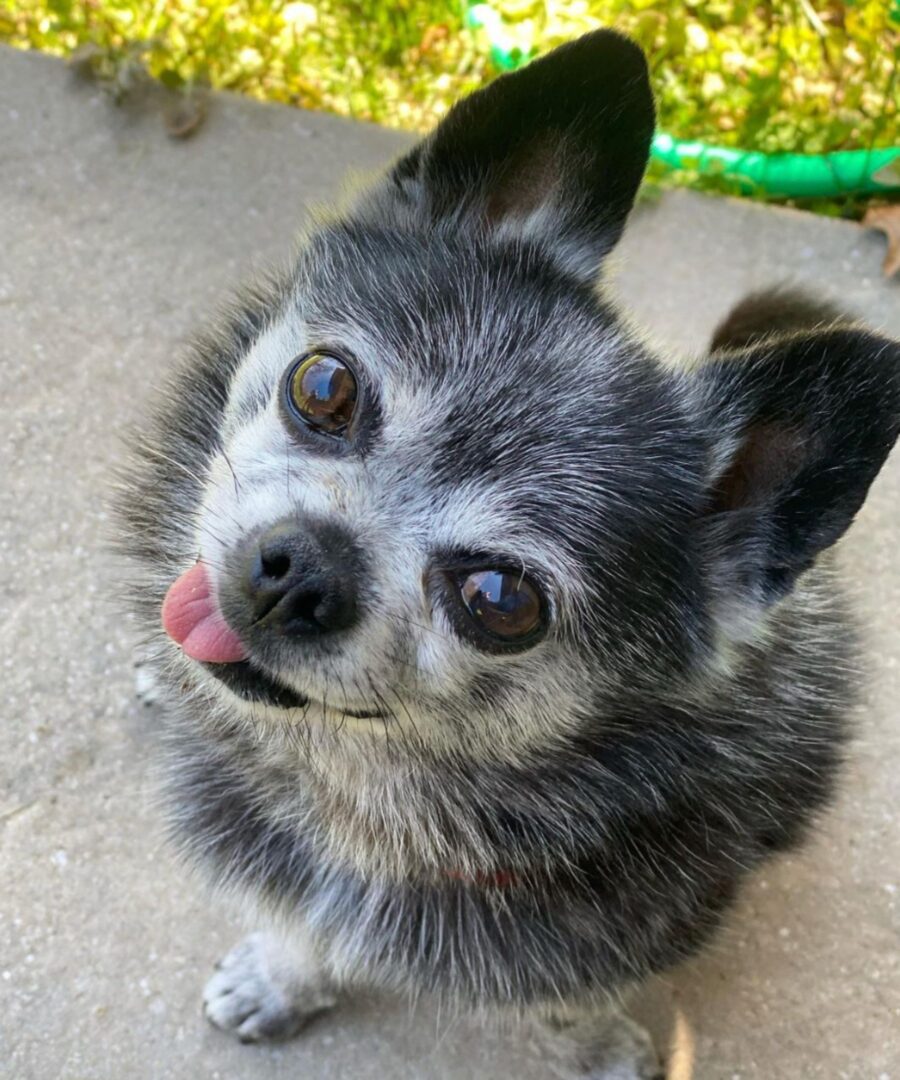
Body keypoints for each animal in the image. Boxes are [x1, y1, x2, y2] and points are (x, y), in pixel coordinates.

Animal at [115, 31, 898, 1080]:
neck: (354, 791)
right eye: (324, 387)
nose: (302, 570)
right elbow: (300, 923)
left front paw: (601, 1049)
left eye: (500, 599)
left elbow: (569, 1002)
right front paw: (281, 975)